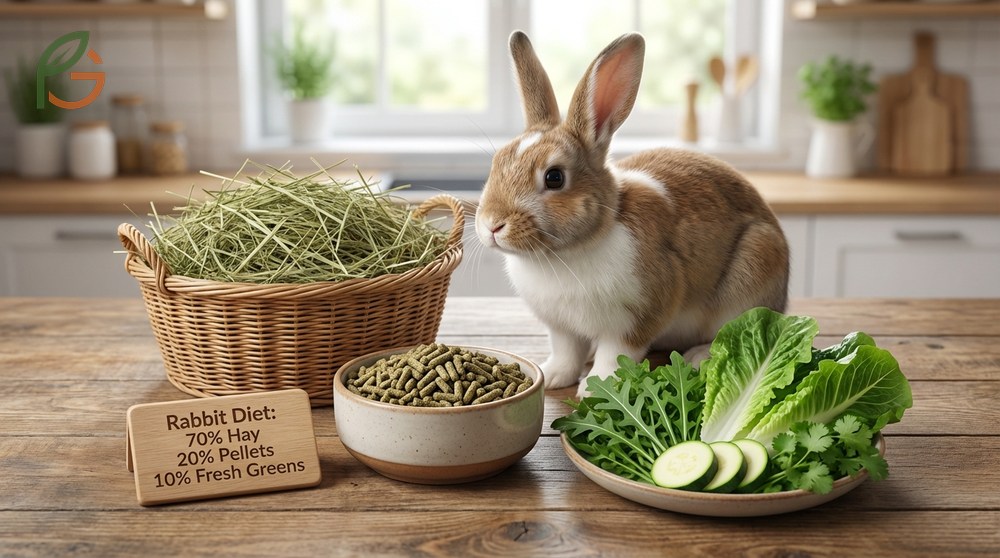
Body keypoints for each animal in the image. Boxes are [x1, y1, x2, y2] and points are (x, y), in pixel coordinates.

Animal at [475, 31, 790, 398]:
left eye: (554, 177)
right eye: (496, 163)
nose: (492, 225)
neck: (569, 251)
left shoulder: (636, 318)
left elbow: (616, 355)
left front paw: (596, 389)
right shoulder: (561, 327)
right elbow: (566, 352)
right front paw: (552, 377)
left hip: (751, 275)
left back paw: (699, 356)